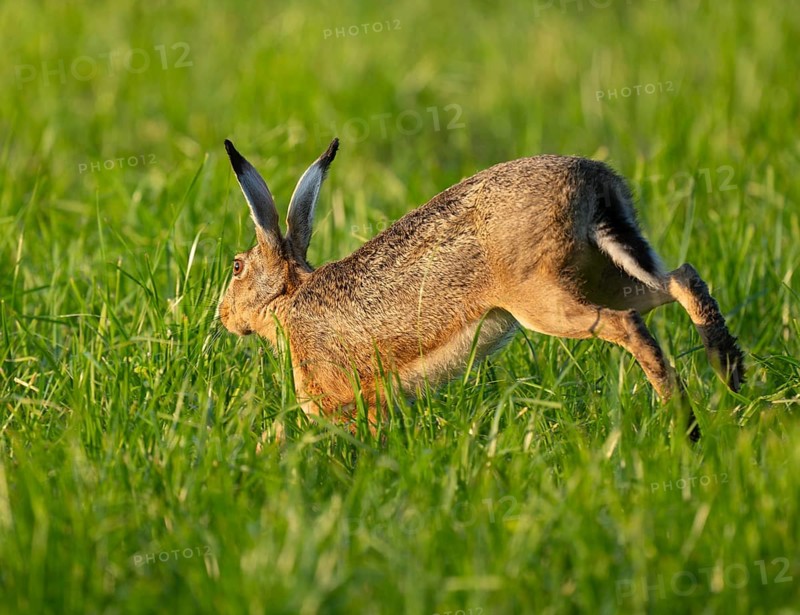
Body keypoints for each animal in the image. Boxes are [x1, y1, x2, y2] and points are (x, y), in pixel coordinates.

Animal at [218, 137, 744, 439]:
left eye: (237, 267)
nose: (222, 317)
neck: (287, 300)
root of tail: (593, 186)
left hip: (542, 296)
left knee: (629, 324)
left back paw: (685, 423)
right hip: (607, 273)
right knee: (681, 279)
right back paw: (729, 374)